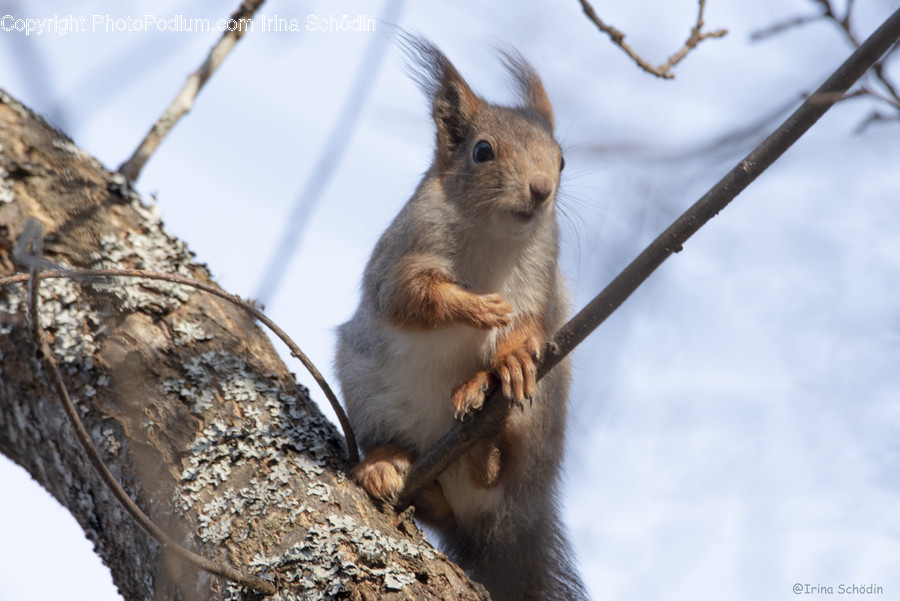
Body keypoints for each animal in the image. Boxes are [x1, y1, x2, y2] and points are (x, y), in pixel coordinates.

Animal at [336, 35, 588, 601]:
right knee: (438, 507)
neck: (493, 233)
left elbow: (531, 324)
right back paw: (386, 464)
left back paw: (486, 427)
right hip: (367, 392)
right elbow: (410, 298)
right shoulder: (403, 253)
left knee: (497, 475)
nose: (541, 189)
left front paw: (510, 353)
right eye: (482, 151)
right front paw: (475, 307)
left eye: (562, 160)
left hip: (540, 417)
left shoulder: (541, 279)